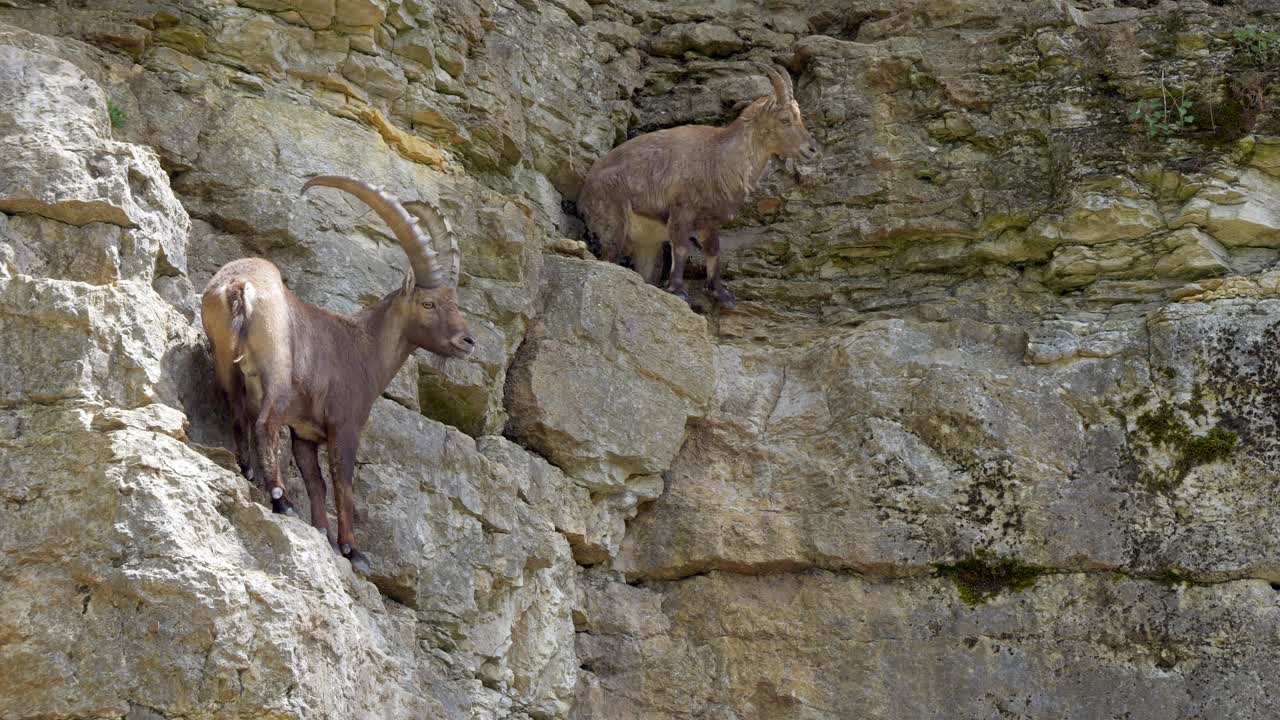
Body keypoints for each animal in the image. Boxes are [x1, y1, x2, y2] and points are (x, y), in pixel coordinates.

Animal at [201, 176, 474, 574]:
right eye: (429, 303)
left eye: (454, 304)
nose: (466, 341)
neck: (362, 346)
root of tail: (239, 286)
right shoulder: (344, 425)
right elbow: (342, 482)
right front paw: (352, 550)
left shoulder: (305, 432)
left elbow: (317, 482)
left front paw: (323, 534)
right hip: (277, 371)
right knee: (265, 423)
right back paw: (281, 499)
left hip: (225, 361)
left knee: (238, 414)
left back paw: (248, 471)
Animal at [577, 63, 818, 307]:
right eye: (785, 119)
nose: (811, 149)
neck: (716, 158)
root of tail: (584, 192)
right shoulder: (681, 211)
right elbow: (682, 248)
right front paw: (678, 290)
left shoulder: (709, 221)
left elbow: (713, 252)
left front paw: (721, 294)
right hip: (613, 224)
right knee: (609, 256)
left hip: (646, 244)